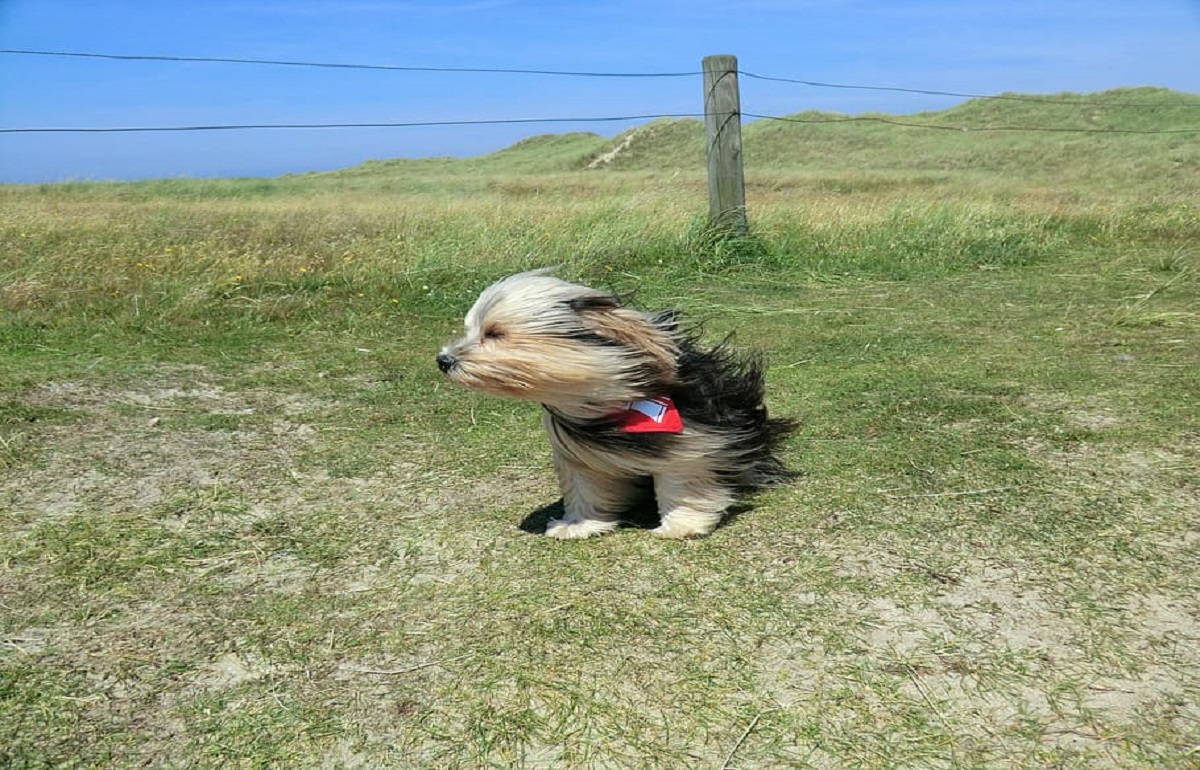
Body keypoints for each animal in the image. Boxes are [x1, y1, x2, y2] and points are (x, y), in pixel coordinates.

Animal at [436, 269, 792, 539]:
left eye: (495, 333)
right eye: (470, 330)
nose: (444, 360)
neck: (610, 399)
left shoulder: (693, 440)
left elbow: (681, 479)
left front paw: (681, 524)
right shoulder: (578, 455)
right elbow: (586, 487)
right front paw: (578, 525)